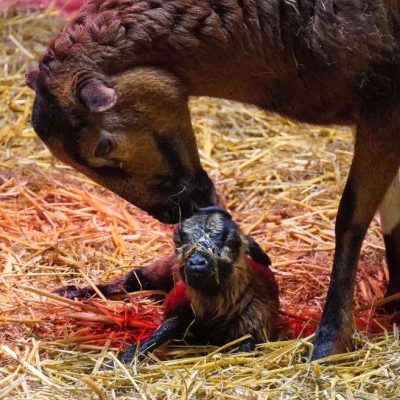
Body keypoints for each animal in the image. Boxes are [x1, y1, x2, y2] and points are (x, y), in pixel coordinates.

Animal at [25, 0, 400, 360]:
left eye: (103, 146)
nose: (173, 213)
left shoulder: (383, 102)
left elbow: (351, 218)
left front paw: (329, 342)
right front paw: (393, 301)